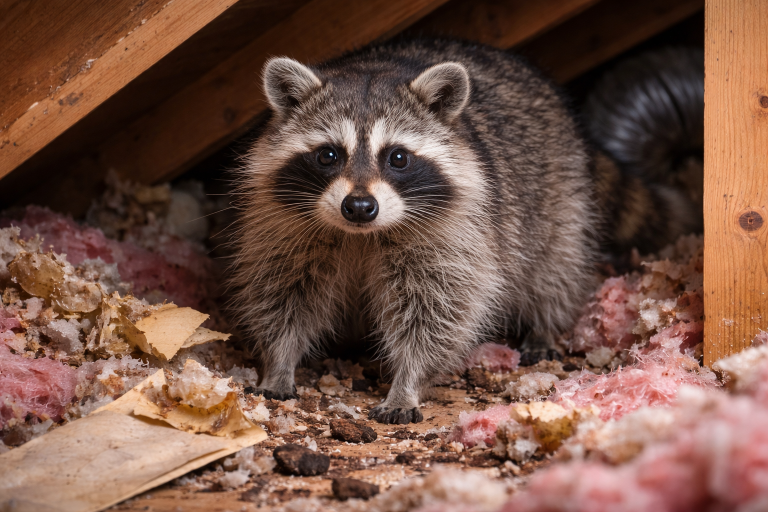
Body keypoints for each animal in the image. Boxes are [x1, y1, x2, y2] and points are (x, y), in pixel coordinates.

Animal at [230, 40, 703, 424]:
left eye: (397, 157)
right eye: (328, 155)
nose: (360, 207)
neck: (361, 235)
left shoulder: (457, 231)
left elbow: (438, 309)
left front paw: (407, 382)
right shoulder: (285, 224)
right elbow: (285, 292)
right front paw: (280, 361)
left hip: (559, 188)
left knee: (557, 259)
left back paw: (546, 321)